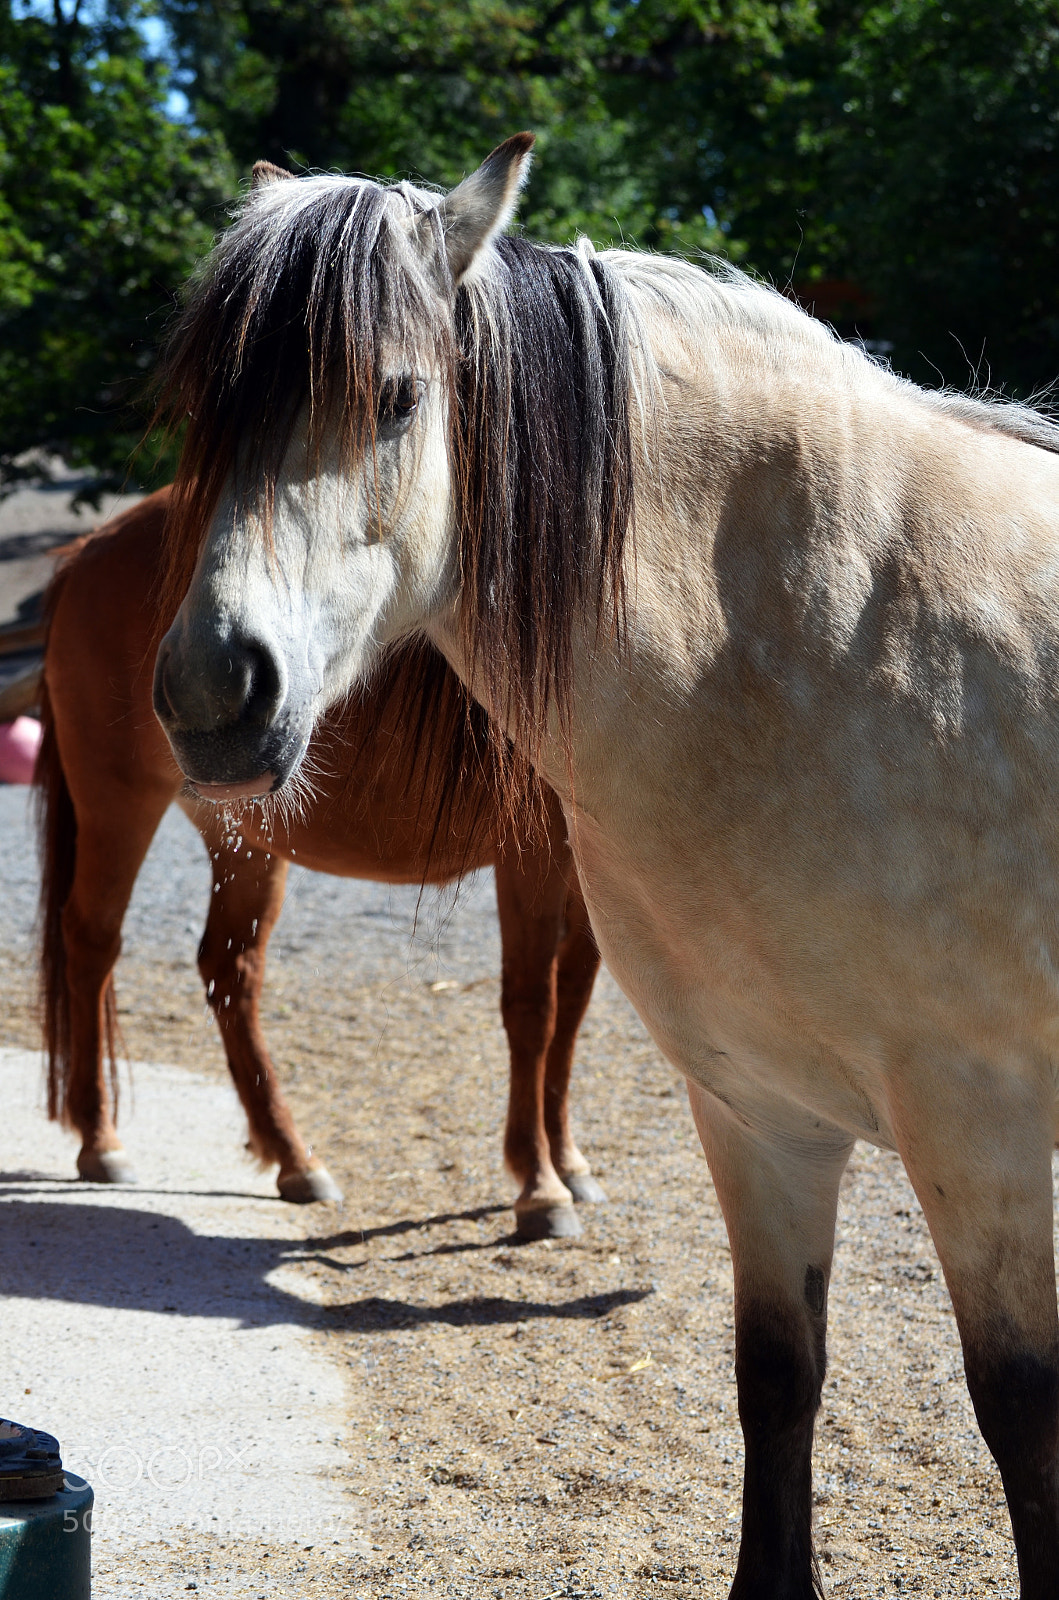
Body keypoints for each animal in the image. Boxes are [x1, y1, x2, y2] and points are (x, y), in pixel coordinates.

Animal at [37, 485, 604, 1238]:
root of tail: (90, 549)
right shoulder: (532, 857)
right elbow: (534, 1008)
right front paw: (539, 1184)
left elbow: (573, 1002)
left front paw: (567, 1162)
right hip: (117, 802)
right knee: (92, 944)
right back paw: (101, 1141)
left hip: (245, 839)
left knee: (229, 970)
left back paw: (292, 1157)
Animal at [150, 136, 1059, 1595]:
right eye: (207, 412)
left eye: (397, 397)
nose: (208, 693)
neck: (824, 647)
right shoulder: (759, 1117)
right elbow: (776, 1380)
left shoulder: (983, 1125)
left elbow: (1020, 1421)